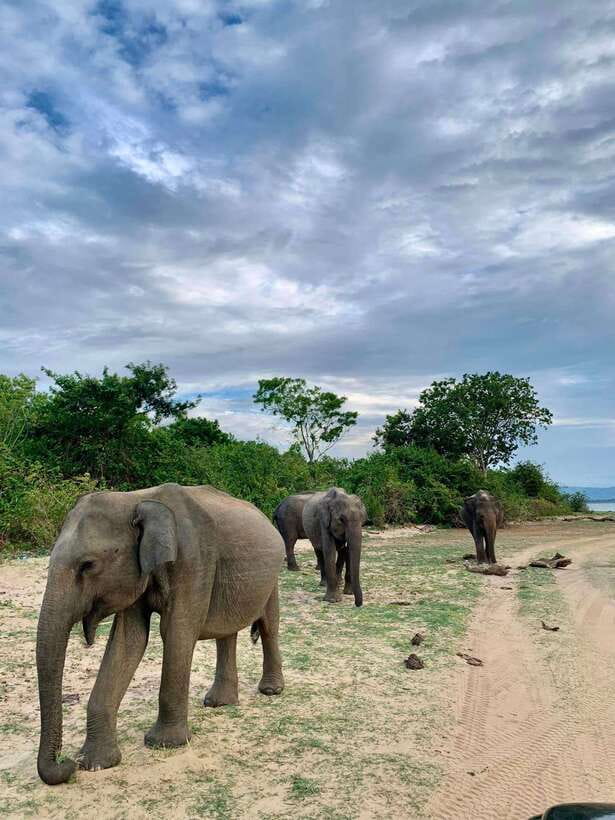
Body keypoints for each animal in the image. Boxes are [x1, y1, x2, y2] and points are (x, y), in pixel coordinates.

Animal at [36, 483, 285, 786]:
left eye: (88, 565)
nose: (66, 763)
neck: (136, 500)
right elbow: (128, 641)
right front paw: (95, 763)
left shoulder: (194, 560)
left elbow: (177, 632)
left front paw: (165, 744)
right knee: (226, 631)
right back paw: (219, 703)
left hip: (272, 577)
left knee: (268, 625)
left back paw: (271, 691)